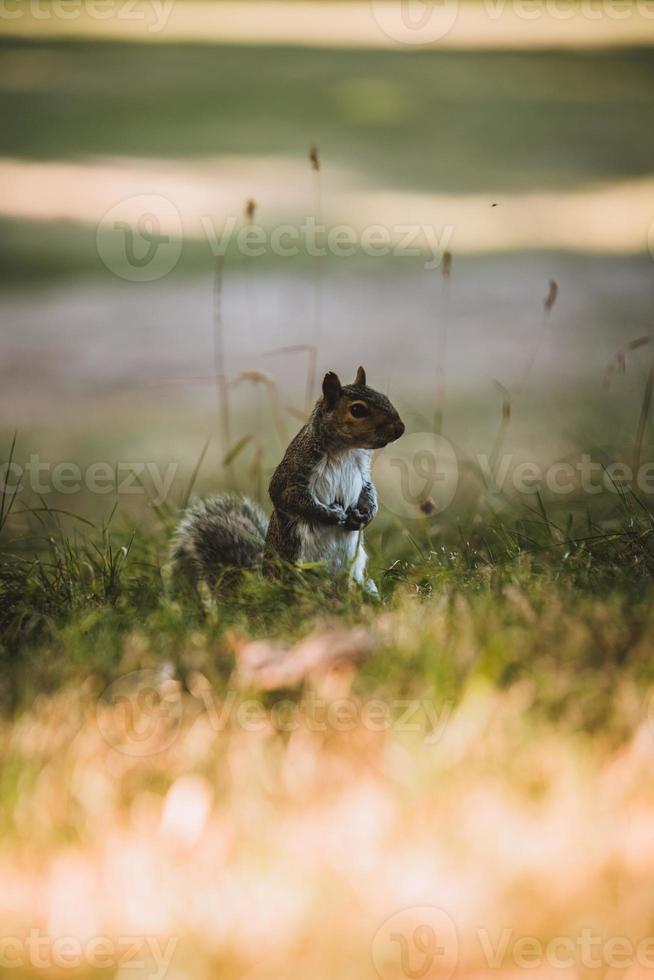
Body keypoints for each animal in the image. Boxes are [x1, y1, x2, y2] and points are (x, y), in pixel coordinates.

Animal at [170, 368, 404, 596]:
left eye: (384, 397)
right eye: (357, 410)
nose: (400, 428)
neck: (346, 450)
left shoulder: (363, 474)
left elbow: (369, 493)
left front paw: (364, 516)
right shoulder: (293, 471)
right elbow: (287, 497)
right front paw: (330, 514)